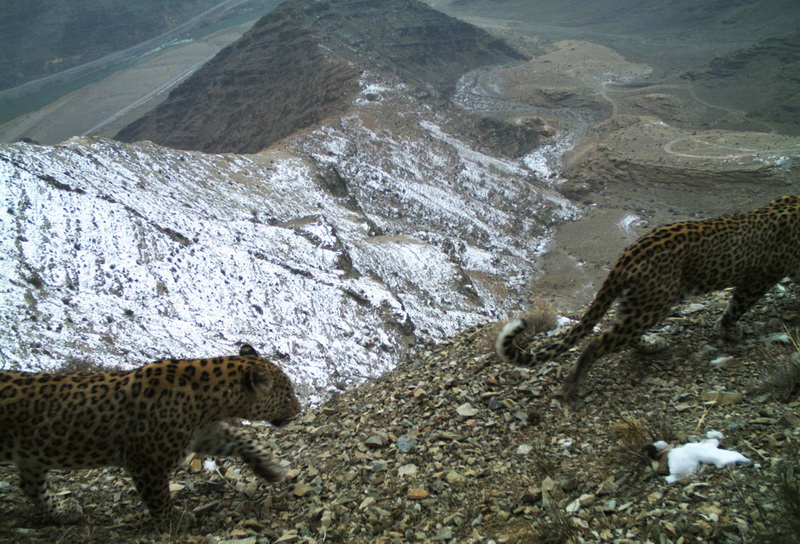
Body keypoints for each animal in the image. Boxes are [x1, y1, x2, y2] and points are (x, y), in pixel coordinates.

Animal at [0, 344, 300, 528]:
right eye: (287, 395)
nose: (298, 410)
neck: (208, 400)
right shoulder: (147, 461)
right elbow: (158, 497)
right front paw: (173, 521)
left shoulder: (203, 433)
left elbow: (241, 439)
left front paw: (269, 468)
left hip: (32, 454)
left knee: (30, 486)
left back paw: (63, 511)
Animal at [496, 193, 800, 398]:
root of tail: (628, 254)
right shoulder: (759, 278)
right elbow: (736, 307)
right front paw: (730, 332)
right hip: (654, 304)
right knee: (599, 342)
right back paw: (574, 381)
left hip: (638, 302)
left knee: (623, 334)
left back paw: (651, 344)